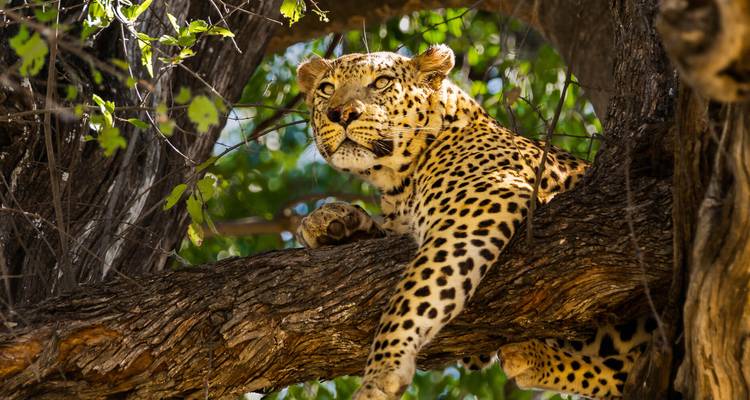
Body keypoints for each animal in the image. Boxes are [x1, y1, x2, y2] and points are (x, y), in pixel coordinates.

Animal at [295, 44, 655, 400]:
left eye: (381, 83)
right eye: (326, 89)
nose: (340, 114)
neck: (398, 184)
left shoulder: (481, 203)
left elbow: (413, 294)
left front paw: (382, 372)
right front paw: (330, 222)